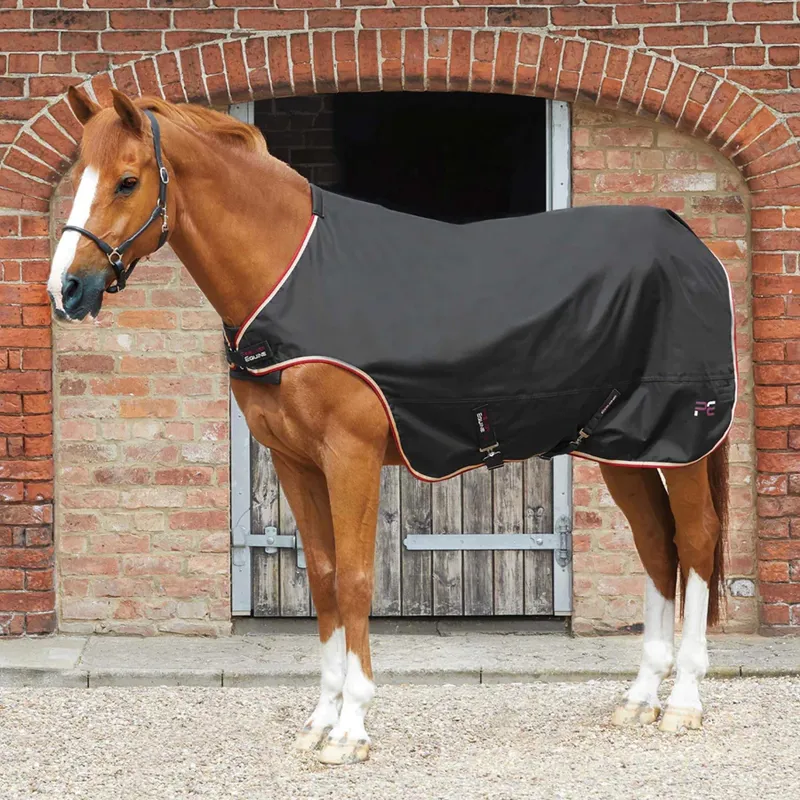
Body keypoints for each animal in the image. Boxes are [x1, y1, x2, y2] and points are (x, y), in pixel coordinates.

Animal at [48, 87, 730, 765]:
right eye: (77, 175)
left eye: (127, 181)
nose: (66, 290)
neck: (292, 277)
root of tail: (691, 244)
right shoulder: (294, 462)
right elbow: (324, 579)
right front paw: (320, 720)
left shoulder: (350, 455)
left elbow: (355, 580)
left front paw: (351, 728)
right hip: (625, 446)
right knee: (656, 544)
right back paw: (640, 699)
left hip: (682, 441)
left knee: (697, 538)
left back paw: (684, 703)